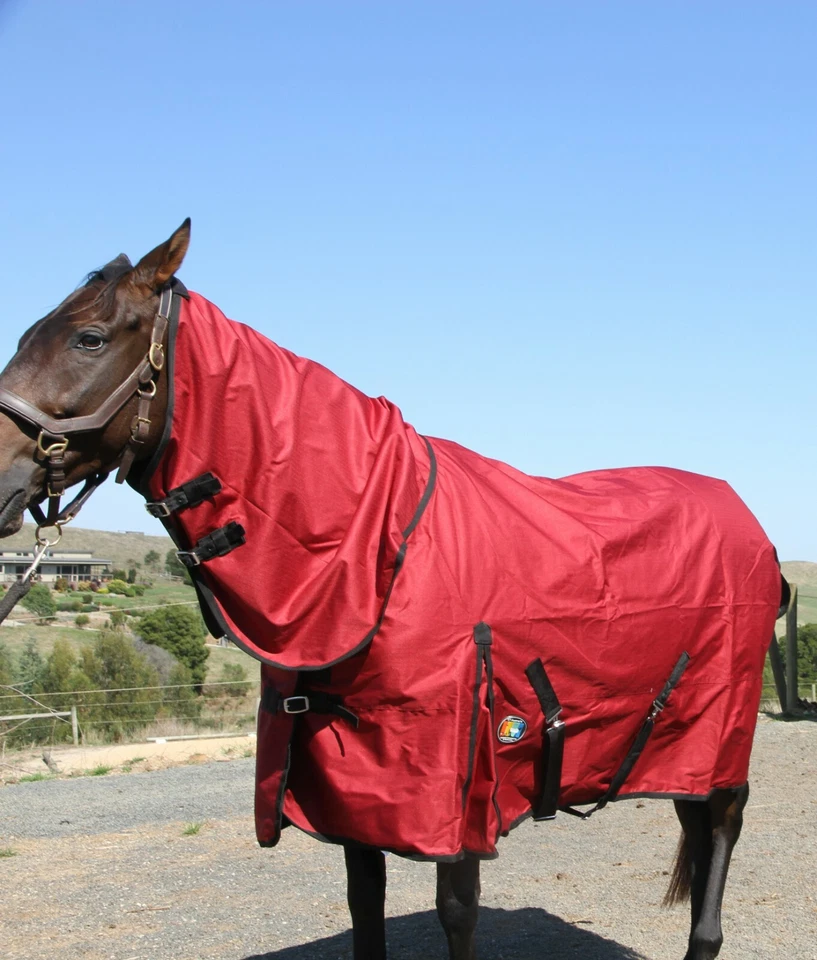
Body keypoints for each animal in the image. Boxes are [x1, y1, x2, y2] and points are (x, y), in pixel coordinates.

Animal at [0, 221, 787, 960]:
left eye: (90, 338)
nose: (1, 478)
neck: (376, 545)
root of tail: (753, 528)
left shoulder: (456, 803)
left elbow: (456, 915)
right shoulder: (353, 801)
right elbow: (363, 907)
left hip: (716, 747)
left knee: (719, 843)